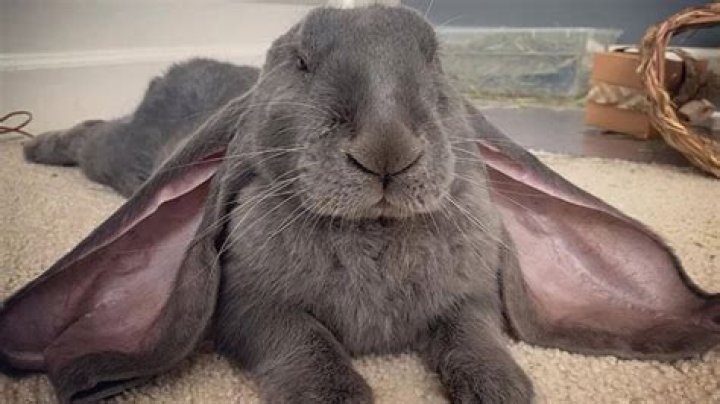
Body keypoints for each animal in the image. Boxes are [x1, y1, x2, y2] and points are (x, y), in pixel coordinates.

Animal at [3, 5, 719, 404]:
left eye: (435, 61)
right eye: (300, 62)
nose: (386, 149)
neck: (374, 228)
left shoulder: (468, 300)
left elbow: (475, 335)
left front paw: (502, 388)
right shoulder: (251, 309)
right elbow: (307, 344)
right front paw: (337, 396)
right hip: (118, 153)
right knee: (93, 133)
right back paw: (35, 145)